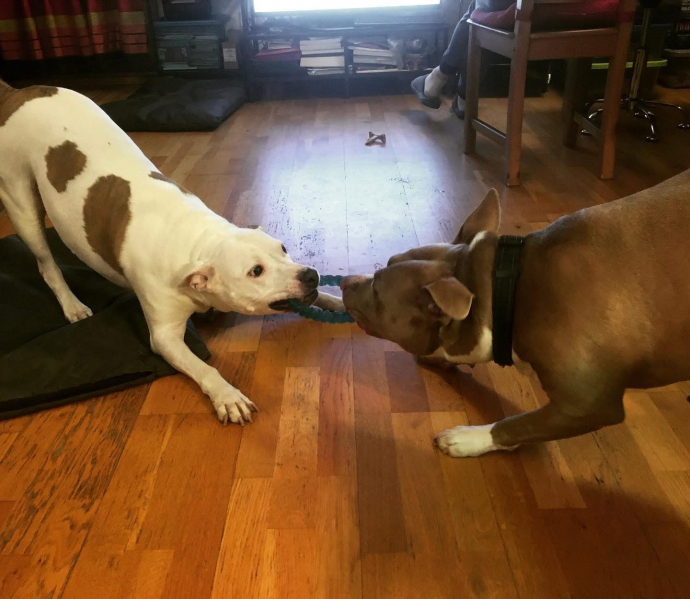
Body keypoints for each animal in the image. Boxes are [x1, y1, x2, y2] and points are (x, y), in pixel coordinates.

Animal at [0, 81, 336, 425]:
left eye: (283, 248)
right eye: (256, 271)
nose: (310, 275)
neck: (198, 242)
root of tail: (20, 92)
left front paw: (336, 298)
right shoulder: (164, 337)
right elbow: (203, 368)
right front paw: (227, 396)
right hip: (21, 205)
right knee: (46, 263)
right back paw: (72, 305)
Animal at [340, 172, 690, 457]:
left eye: (377, 288)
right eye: (386, 263)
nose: (344, 281)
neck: (507, 290)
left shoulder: (589, 405)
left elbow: (519, 424)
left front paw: (469, 440)